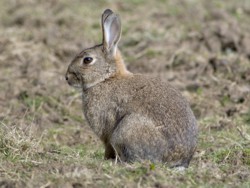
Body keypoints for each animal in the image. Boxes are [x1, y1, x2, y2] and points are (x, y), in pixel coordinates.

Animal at [65, 8, 198, 167]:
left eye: (87, 60)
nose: (67, 77)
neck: (106, 78)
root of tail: (179, 159)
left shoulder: (106, 129)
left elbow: (107, 145)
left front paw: (105, 159)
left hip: (126, 130)